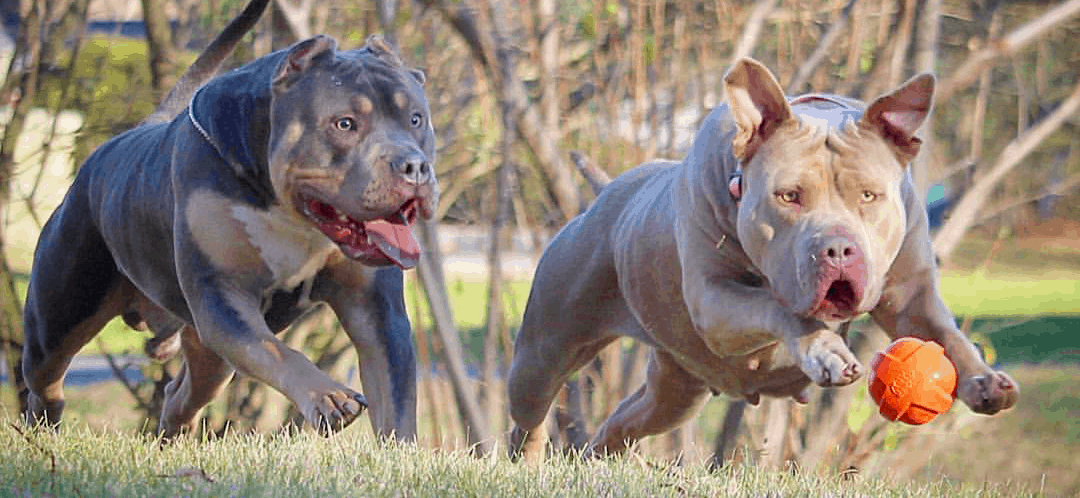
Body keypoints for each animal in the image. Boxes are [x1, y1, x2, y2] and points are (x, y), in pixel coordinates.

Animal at [21, 0, 436, 438]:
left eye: (416, 119)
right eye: (344, 124)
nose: (413, 166)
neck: (289, 212)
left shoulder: (376, 310)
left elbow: (395, 403)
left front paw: (397, 448)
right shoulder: (222, 296)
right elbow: (278, 352)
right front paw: (327, 395)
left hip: (207, 352)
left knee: (182, 396)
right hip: (60, 319)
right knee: (45, 380)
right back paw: (41, 427)